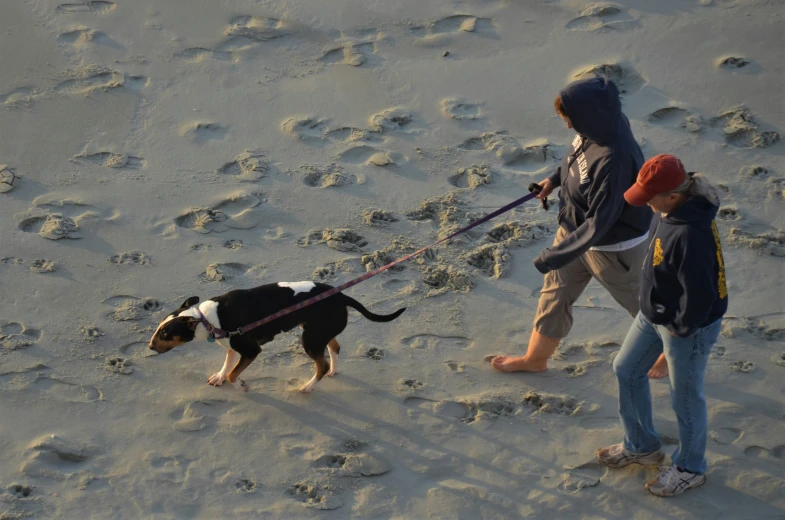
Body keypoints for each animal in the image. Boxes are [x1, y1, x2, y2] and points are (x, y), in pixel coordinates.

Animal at [149, 282, 404, 392]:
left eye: (165, 333)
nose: (150, 347)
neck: (207, 318)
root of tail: (341, 296)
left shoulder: (251, 350)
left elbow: (233, 374)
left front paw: (241, 384)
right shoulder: (232, 344)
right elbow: (228, 364)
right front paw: (219, 377)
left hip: (310, 340)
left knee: (321, 364)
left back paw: (307, 387)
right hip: (318, 332)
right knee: (335, 349)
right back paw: (333, 371)